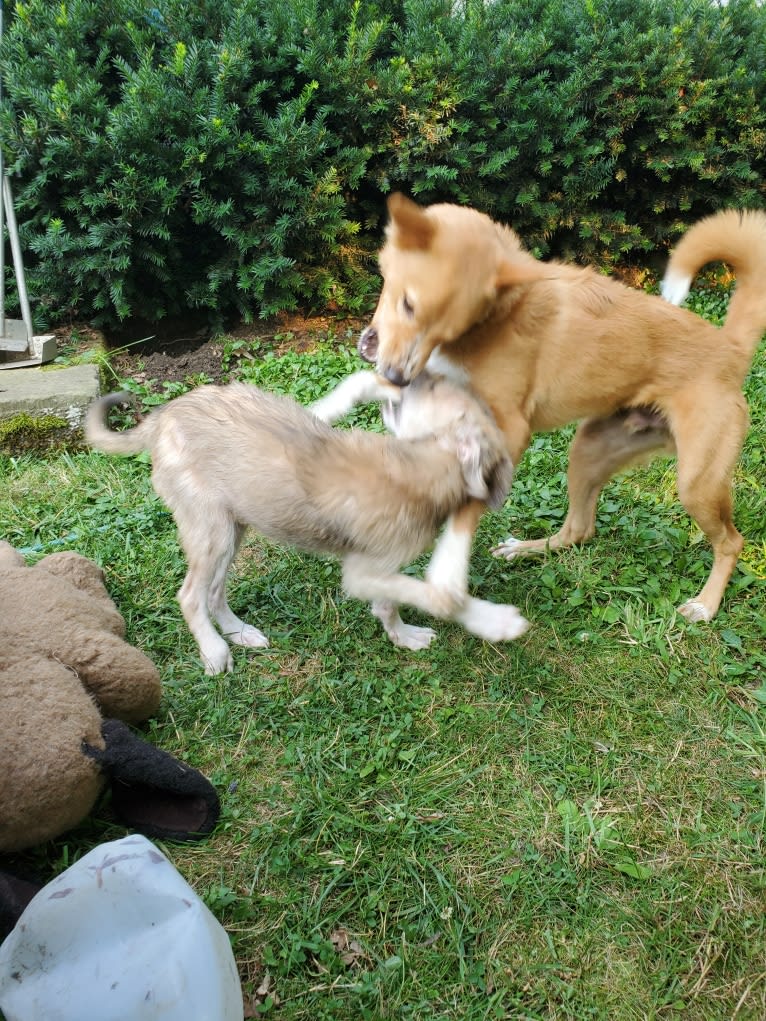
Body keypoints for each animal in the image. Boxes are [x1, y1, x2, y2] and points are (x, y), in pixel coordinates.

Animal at [85, 371, 527, 673]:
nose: (405, 375)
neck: (415, 470)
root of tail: (163, 417)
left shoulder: (380, 570)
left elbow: (389, 605)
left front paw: (402, 637)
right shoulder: (362, 572)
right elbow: (440, 596)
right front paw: (494, 621)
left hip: (233, 528)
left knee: (213, 592)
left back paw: (238, 632)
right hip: (212, 531)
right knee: (190, 594)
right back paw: (214, 650)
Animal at [357, 192, 766, 620]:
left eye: (451, 327)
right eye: (407, 304)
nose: (395, 375)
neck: (498, 313)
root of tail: (730, 349)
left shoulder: (510, 430)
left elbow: (468, 501)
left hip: (697, 484)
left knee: (731, 542)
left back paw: (706, 604)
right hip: (588, 450)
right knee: (578, 530)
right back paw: (527, 549)